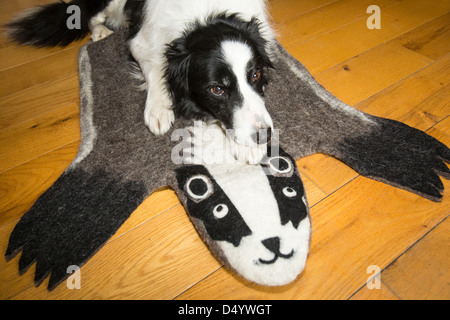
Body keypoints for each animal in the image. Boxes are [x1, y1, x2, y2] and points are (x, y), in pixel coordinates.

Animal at [5, 0, 276, 164]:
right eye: (217, 89)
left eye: (255, 75)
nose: (264, 135)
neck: (203, 14)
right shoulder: (141, 42)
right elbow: (156, 66)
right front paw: (159, 109)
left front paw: (249, 146)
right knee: (89, 14)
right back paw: (100, 32)